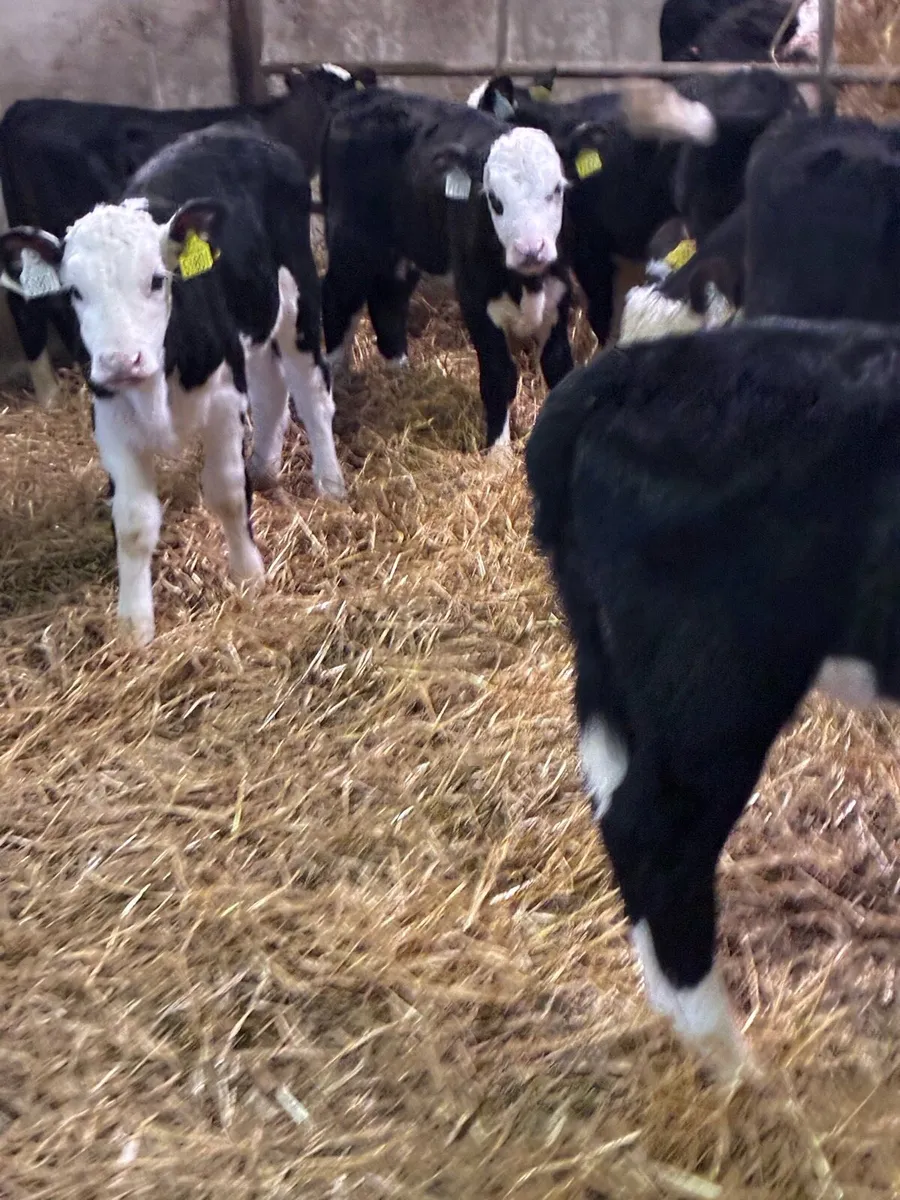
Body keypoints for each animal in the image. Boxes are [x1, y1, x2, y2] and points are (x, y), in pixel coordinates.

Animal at [0, 125, 345, 646]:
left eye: (157, 280)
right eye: (75, 291)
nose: (120, 361)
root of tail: (239, 131)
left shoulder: (222, 400)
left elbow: (226, 489)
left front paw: (249, 576)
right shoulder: (111, 419)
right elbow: (133, 521)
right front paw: (134, 624)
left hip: (298, 296)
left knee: (310, 390)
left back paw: (330, 483)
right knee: (269, 387)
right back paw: (265, 467)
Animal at [320, 84, 715, 450]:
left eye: (557, 189)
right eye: (494, 199)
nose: (531, 249)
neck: (527, 282)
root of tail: (362, 97)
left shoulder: (560, 292)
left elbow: (558, 365)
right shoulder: (475, 298)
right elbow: (498, 376)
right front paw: (497, 451)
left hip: (401, 249)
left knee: (388, 301)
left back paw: (400, 376)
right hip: (351, 243)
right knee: (338, 299)